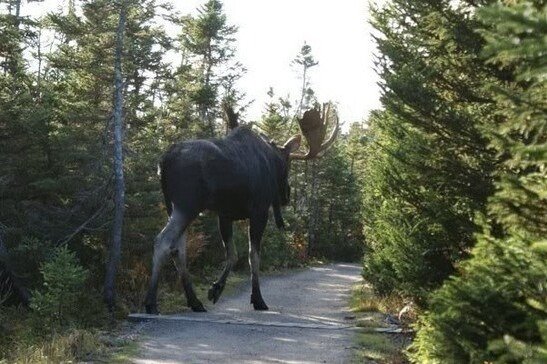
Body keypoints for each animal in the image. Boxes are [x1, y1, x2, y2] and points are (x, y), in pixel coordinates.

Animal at [143, 102, 338, 312]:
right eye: (288, 164)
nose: (286, 195)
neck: (271, 158)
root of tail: (163, 162)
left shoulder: (225, 215)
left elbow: (233, 255)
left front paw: (216, 289)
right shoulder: (259, 211)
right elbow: (253, 257)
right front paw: (258, 299)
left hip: (172, 206)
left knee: (178, 249)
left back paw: (195, 302)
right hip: (187, 205)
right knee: (163, 241)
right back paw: (151, 303)